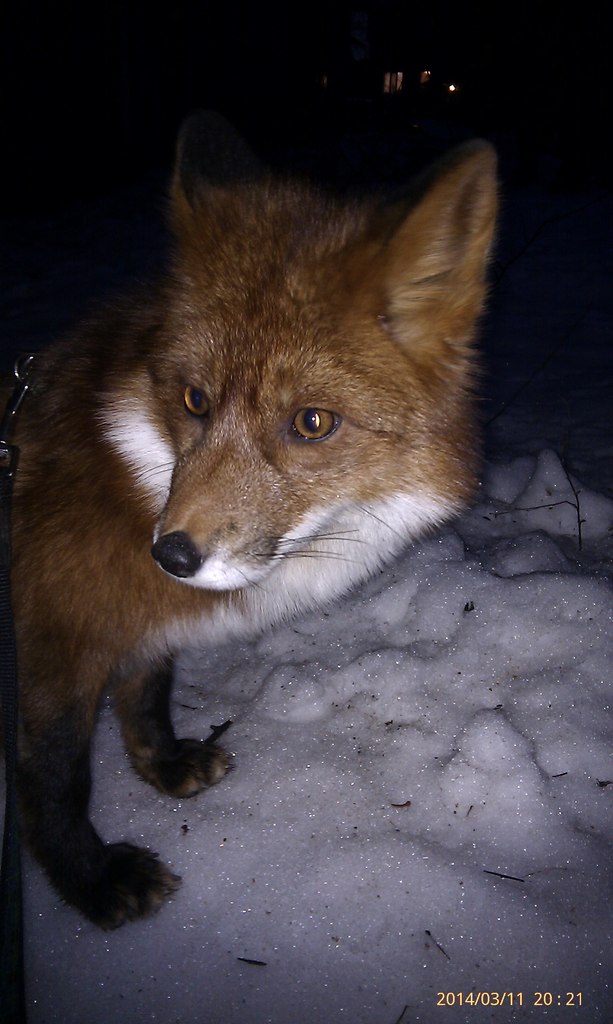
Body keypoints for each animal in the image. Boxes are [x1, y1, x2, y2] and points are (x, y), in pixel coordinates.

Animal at [6, 112, 499, 929]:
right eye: (195, 400)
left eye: (311, 422)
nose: (172, 556)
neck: (132, 469)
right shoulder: (52, 646)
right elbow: (55, 782)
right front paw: (93, 880)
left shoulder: (134, 636)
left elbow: (144, 693)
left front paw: (163, 765)